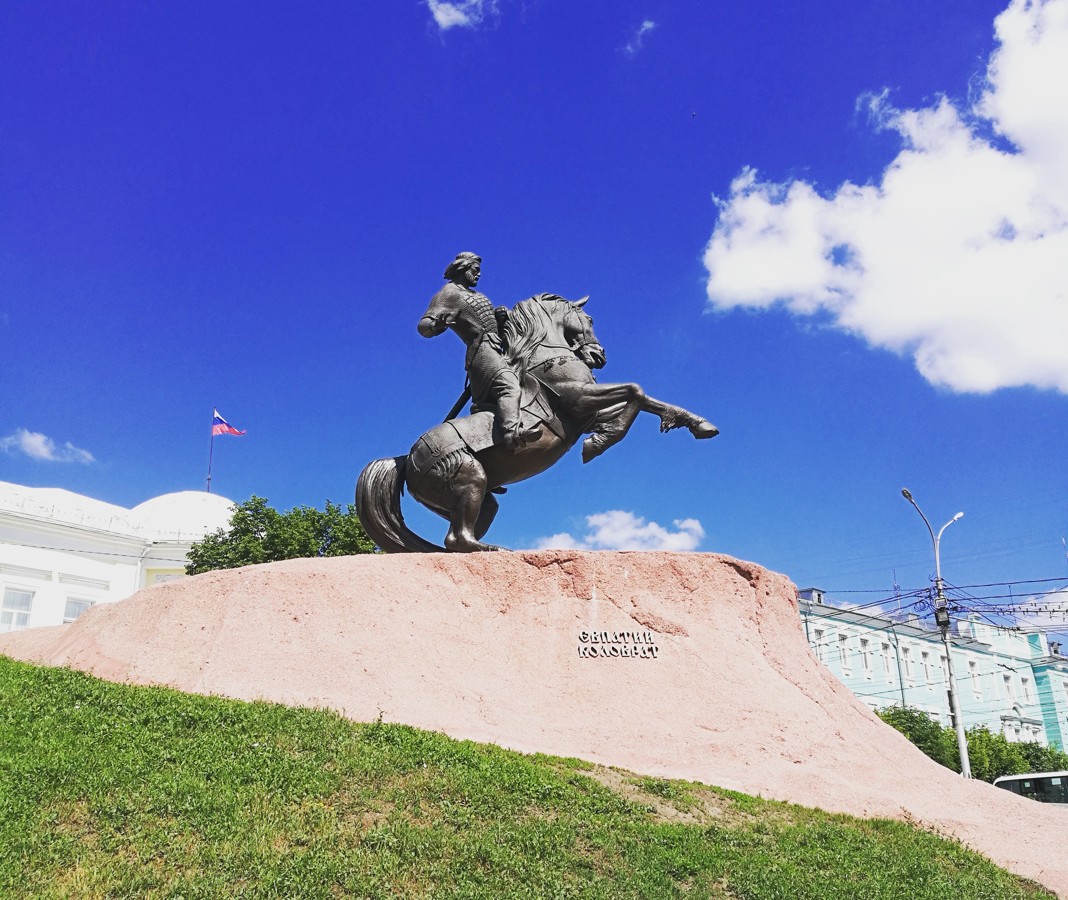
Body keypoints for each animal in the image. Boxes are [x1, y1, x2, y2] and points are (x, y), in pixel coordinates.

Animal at [358, 294, 717, 550]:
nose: (599, 356)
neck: (542, 353)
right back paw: (491, 550)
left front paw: (699, 424)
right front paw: (599, 444)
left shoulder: (584, 413)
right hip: (470, 479)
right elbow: (636, 391)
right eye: (589, 318)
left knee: (456, 537)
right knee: (456, 539)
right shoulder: (579, 399)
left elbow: (644, 400)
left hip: (480, 499)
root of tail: (405, 459)